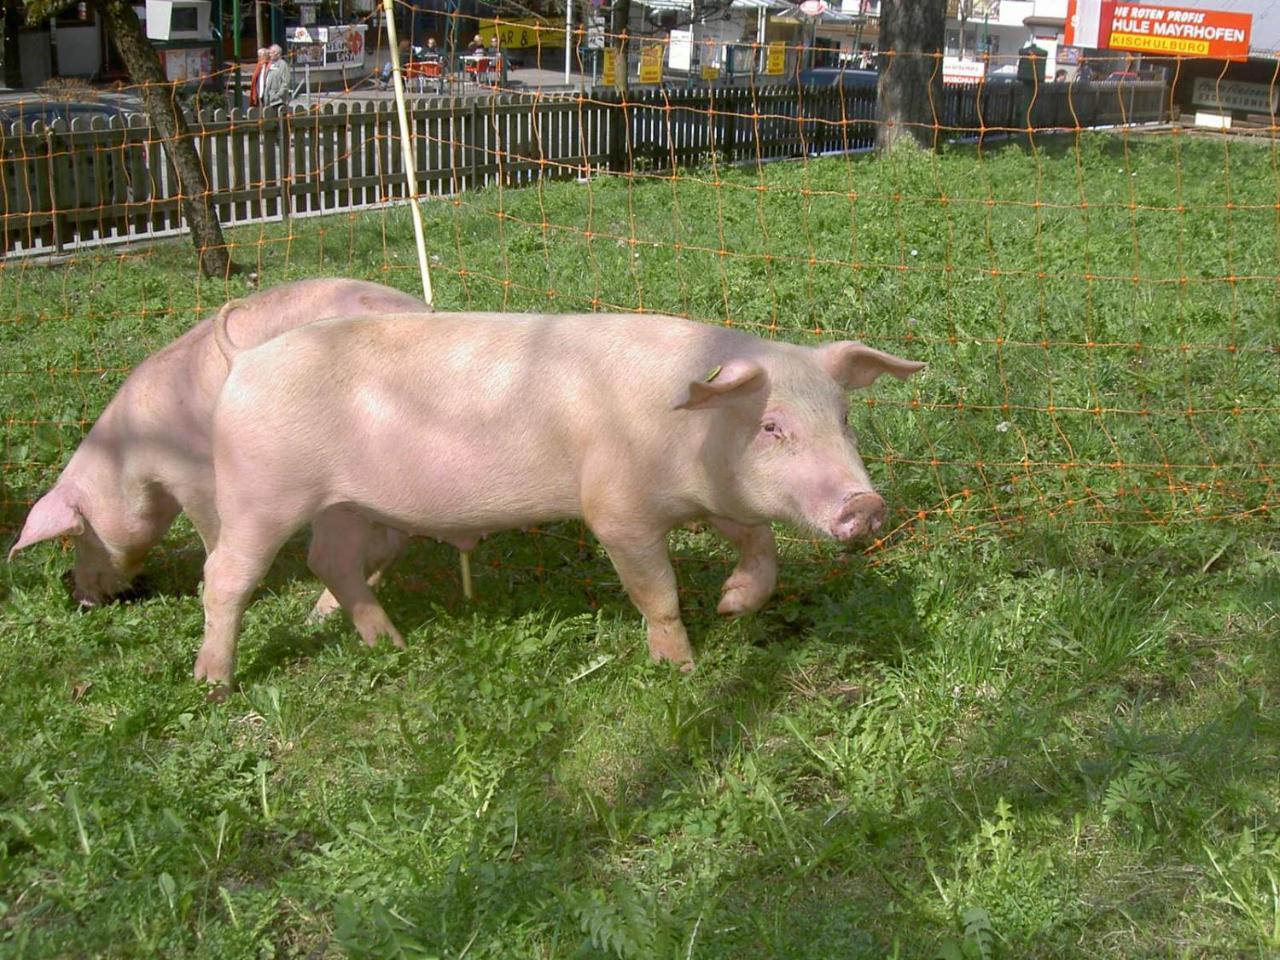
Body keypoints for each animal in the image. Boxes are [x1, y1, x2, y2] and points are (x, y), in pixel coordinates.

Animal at [197, 312, 921, 686]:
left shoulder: (718, 503)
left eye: (844, 418)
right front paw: (681, 670)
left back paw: (390, 647)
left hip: (351, 508)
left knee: (331, 563)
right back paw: (214, 683)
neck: (693, 438)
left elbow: (761, 543)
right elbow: (657, 590)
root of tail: (246, 357)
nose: (865, 506)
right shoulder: (618, 510)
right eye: (772, 426)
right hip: (260, 491)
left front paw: (733, 605)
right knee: (223, 577)